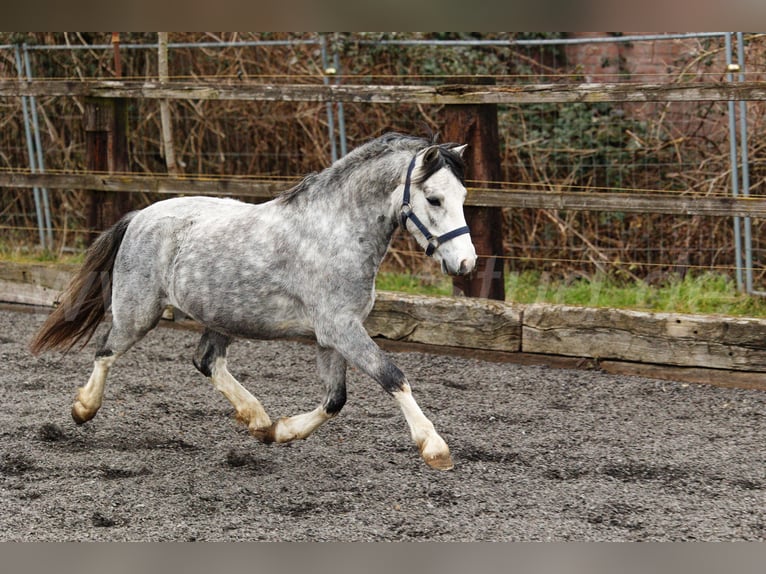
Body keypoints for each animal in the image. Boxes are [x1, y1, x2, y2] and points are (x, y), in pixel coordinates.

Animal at [33, 135, 476, 472]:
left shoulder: (332, 336)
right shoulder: (341, 329)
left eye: (462, 196)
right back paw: (83, 409)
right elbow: (392, 376)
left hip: (221, 315)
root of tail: (141, 215)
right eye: (434, 199)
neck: (335, 232)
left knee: (206, 361)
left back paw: (258, 419)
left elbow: (335, 400)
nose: (466, 263)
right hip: (139, 311)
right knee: (106, 351)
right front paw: (435, 448)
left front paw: (280, 431)